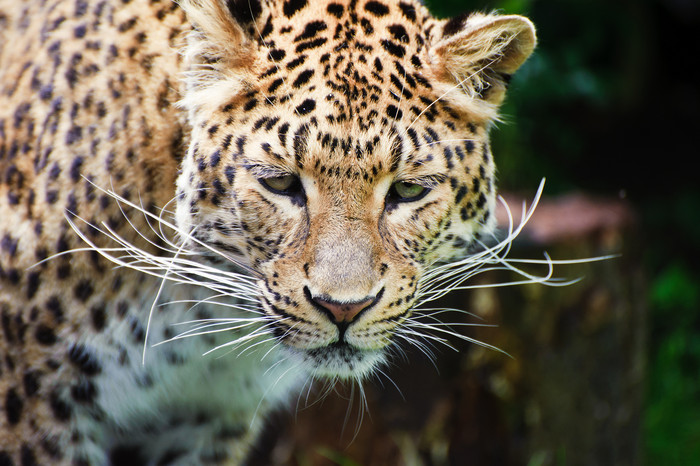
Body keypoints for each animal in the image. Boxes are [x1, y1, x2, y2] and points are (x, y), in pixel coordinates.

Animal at [0, 0, 536, 462]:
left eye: (407, 190)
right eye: (280, 183)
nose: (344, 309)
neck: (199, 322)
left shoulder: (209, 420)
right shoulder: (37, 408)